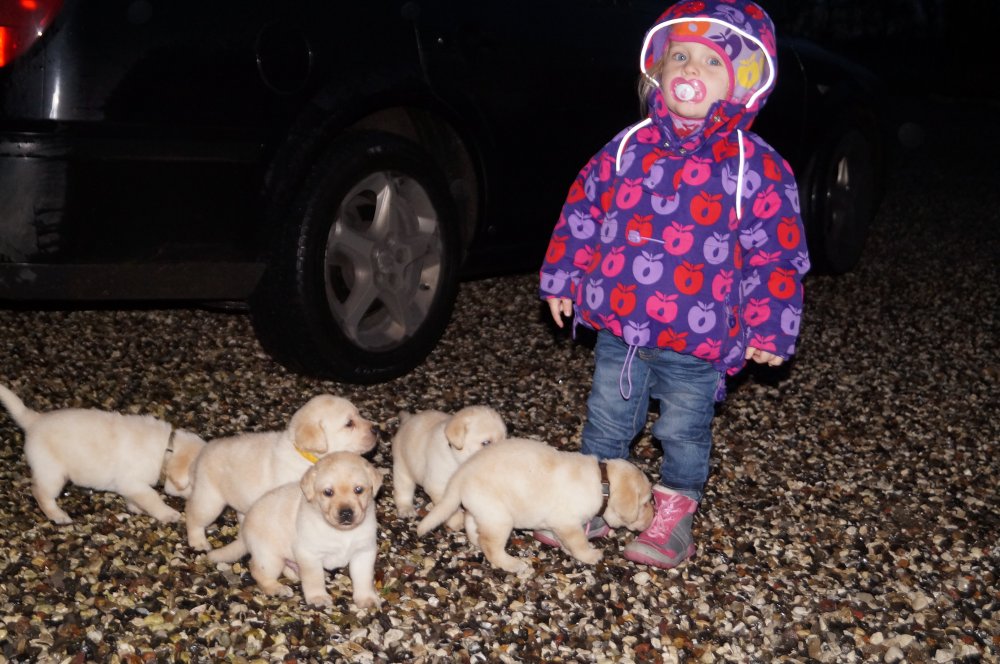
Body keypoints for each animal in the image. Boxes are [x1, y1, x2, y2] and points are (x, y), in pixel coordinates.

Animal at [0, 384, 207, 524]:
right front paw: (168, 513)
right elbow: (152, 498)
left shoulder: (131, 486)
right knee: (40, 493)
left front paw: (135, 507)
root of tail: (34, 420)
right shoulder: (133, 482)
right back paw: (58, 515)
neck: (166, 450)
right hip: (52, 473)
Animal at [185, 394, 378, 551]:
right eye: (349, 423)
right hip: (209, 500)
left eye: (359, 414)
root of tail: (202, 452)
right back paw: (198, 542)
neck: (305, 455)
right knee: (193, 516)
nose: (376, 429)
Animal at [207, 451, 383, 609]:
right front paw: (318, 597)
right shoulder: (309, 554)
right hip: (269, 558)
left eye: (359, 490)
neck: (342, 532)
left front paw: (366, 598)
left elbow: (363, 578)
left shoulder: (364, 552)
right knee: (258, 571)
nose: (346, 513)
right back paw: (277, 588)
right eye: (328, 492)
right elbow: (314, 578)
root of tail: (243, 531)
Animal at [416, 437, 655, 575]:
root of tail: (462, 472)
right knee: (491, 547)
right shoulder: (567, 522)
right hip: (500, 518)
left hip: (484, 509)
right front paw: (589, 555)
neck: (603, 483)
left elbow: (566, 541)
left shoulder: (560, 525)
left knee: (473, 525)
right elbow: (578, 542)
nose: (654, 517)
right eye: (644, 503)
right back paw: (512, 564)